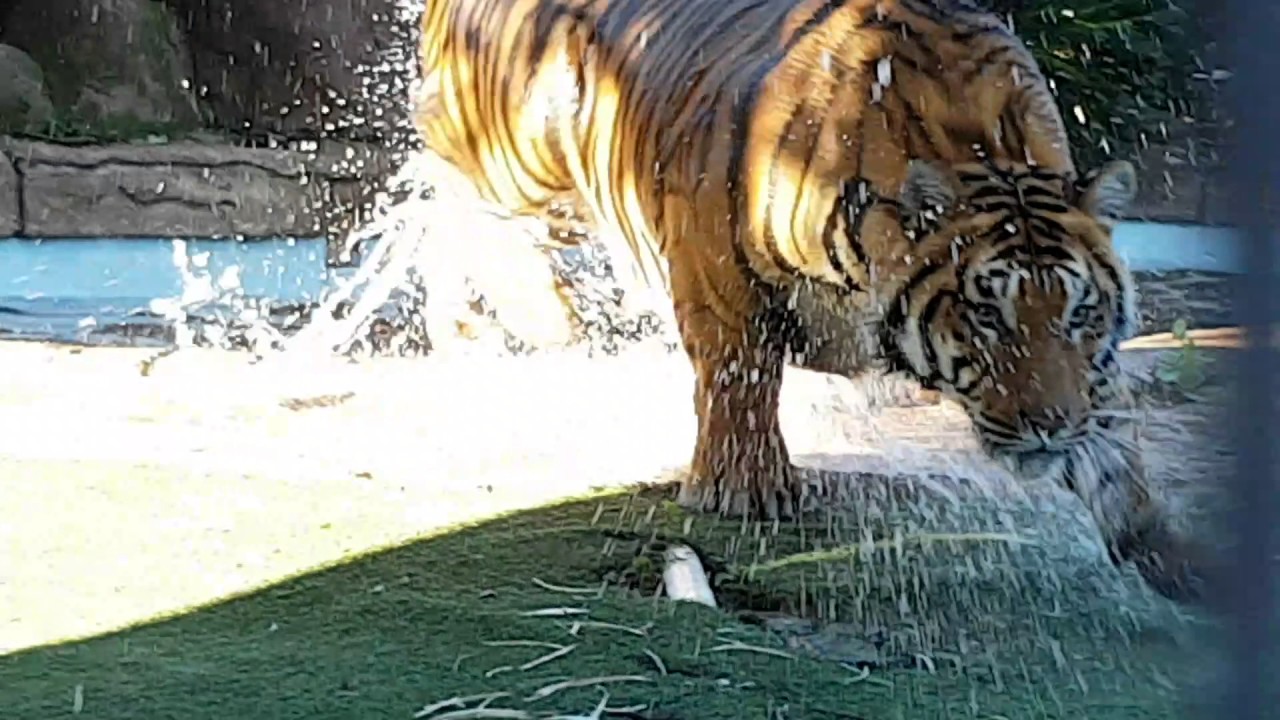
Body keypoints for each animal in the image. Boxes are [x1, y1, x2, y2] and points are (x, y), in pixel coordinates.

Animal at [412, 0, 1209, 601]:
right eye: (987, 314)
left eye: (1079, 314)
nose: (1048, 427)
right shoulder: (711, 240)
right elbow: (740, 368)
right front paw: (745, 489)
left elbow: (1115, 441)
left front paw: (1165, 549)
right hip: (515, 156)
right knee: (444, 199)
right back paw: (515, 318)